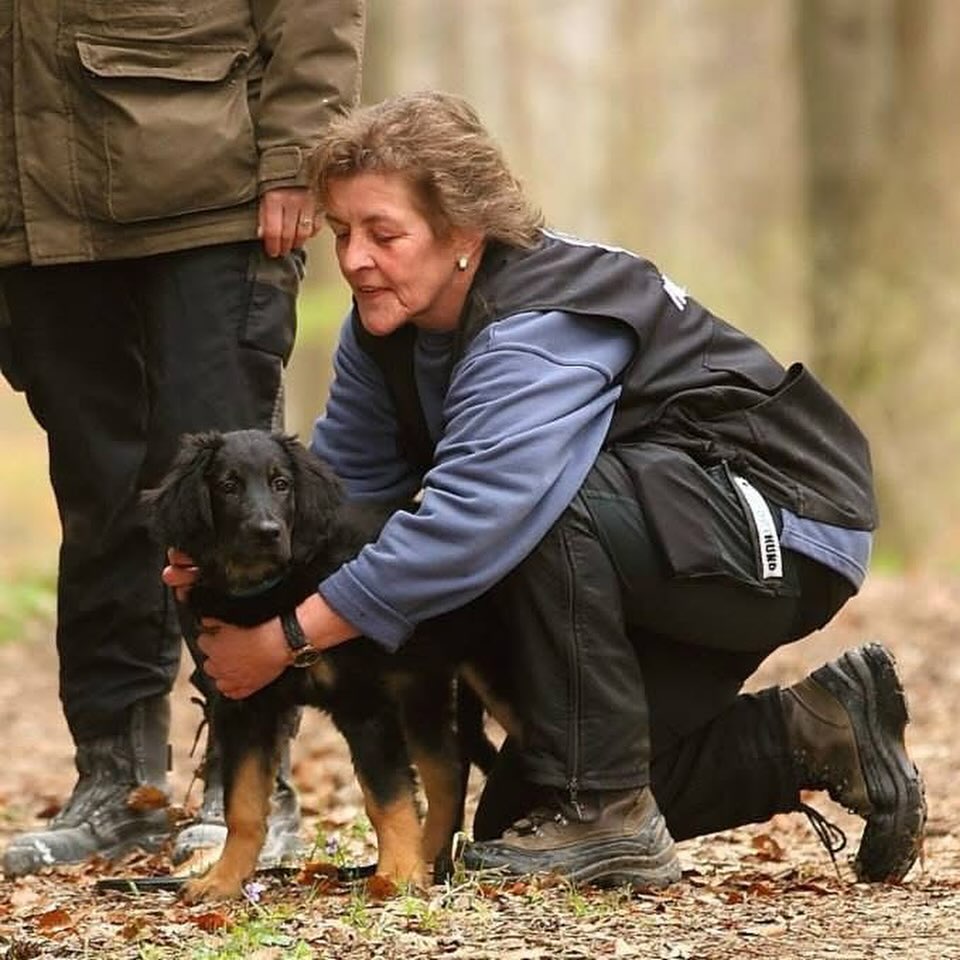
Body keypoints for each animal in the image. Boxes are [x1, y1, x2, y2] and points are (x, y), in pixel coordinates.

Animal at [143, 432, 512, 904]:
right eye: (227, 486)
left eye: (281, 483)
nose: (267, 533)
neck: (271, 592)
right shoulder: (245, 707)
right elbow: (242, 806)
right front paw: (223, 880)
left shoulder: (364, 704)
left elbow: (385, 796)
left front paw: (398, 875)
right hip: (421, 685)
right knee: (447, 767)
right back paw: (431, 858)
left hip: (491, 675)